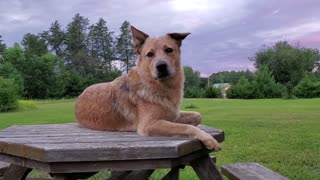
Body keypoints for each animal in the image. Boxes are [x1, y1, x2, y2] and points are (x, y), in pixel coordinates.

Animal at [74, 26, 220, 150]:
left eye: (169, 50)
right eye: (149, 54)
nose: (161, 66)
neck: (158, 86)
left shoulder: (172, 115)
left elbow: (197, 116)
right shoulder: (149, 124)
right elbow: (186, 127)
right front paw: (207, 138)